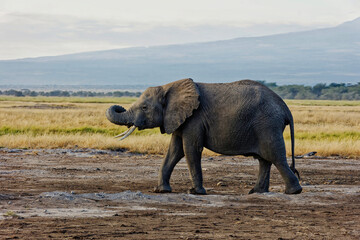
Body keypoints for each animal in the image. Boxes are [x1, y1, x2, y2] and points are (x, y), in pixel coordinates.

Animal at [105, 79, 302, 195]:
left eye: (144, 108)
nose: (119, 107)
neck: (169, 87)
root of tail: (285, 107)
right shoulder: (179, 119)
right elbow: (174, 151)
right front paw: (161, 191)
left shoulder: (195, 119)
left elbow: (190, 149)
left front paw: (196, 192)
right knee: (265, 159)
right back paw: (256, 192)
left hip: (267, 124)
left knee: (275, 156)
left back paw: (293, 192)